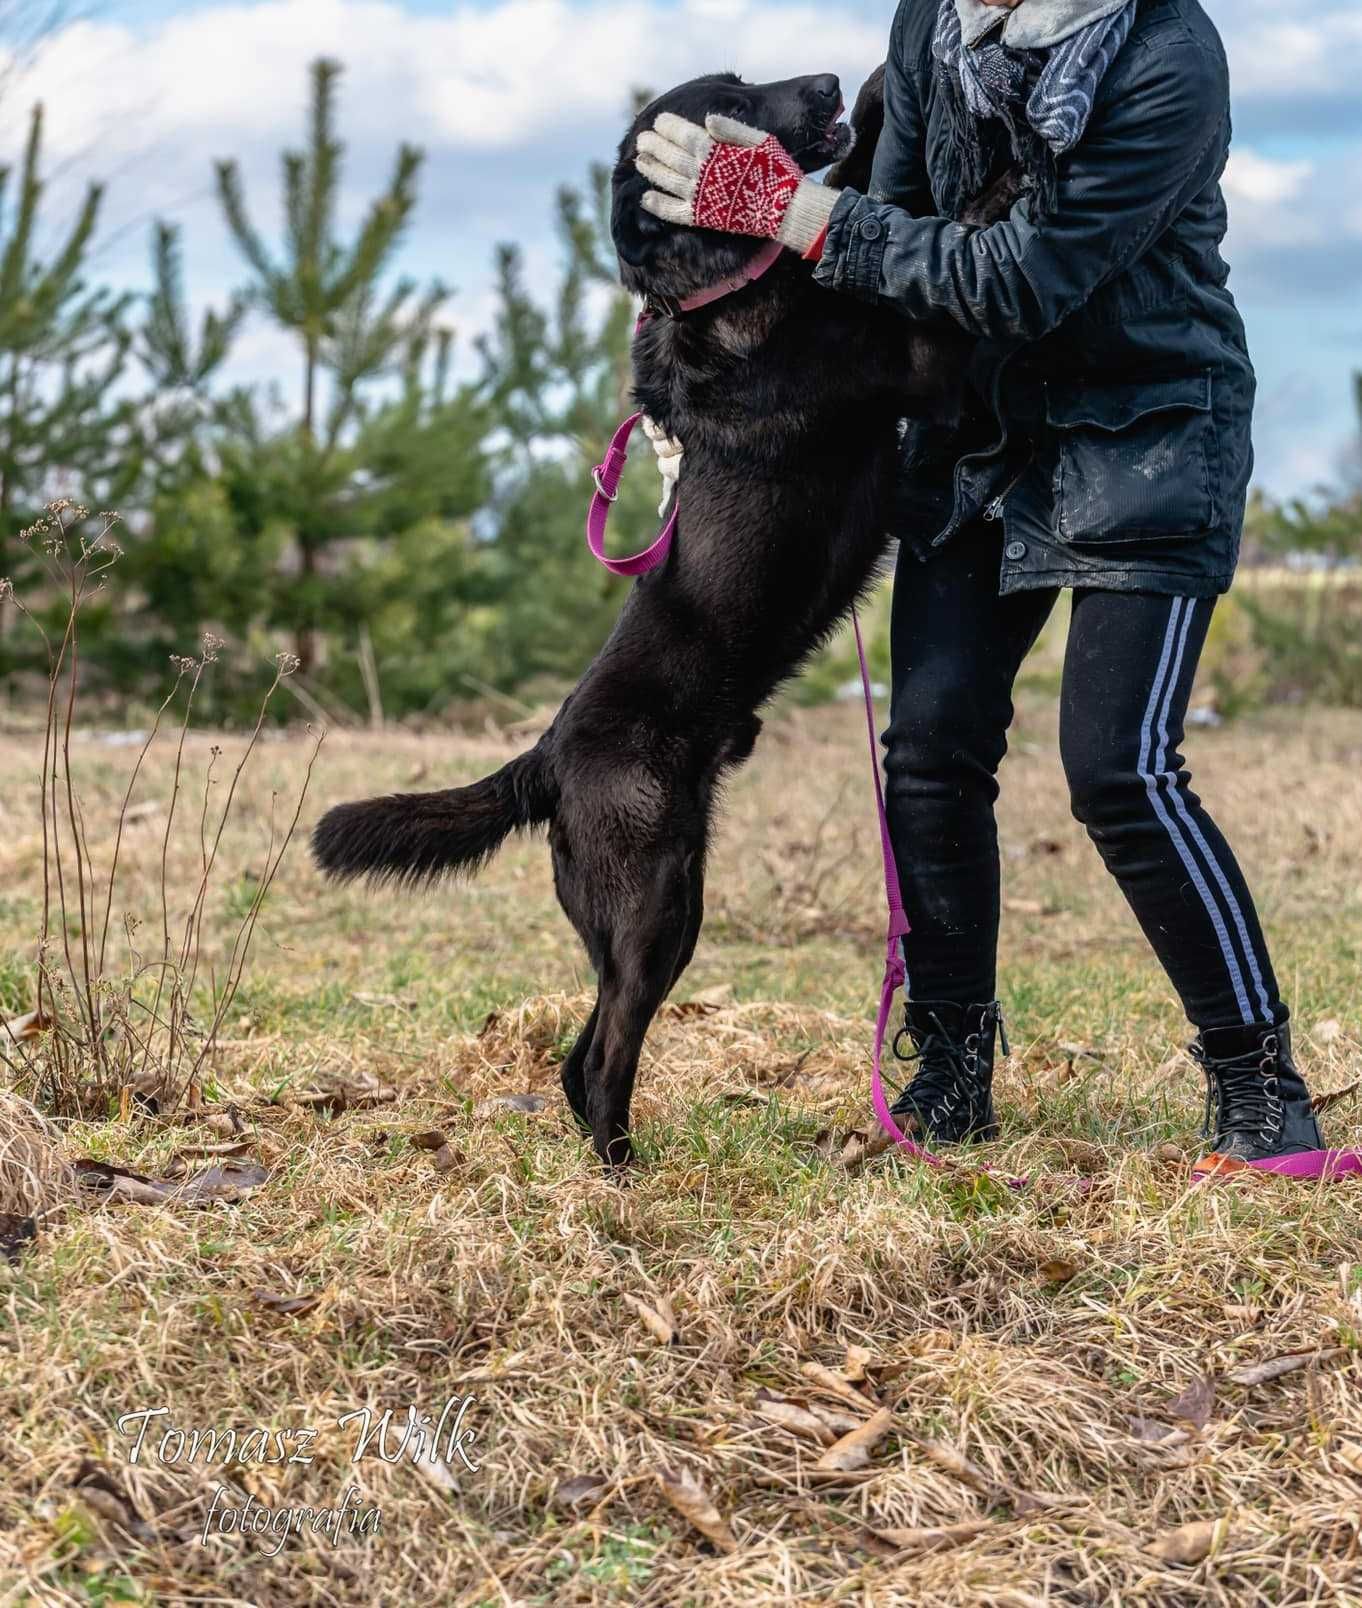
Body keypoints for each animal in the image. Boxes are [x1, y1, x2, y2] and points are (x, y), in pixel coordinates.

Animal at [316, 69, 1009, 1170]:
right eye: (733, 98)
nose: (824, 78)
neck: (719, 295)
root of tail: (545, 756)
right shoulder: (922, 357)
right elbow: (952, 239)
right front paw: (1008, 174)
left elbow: (854, 194)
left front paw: (871, 104)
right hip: (655, 903)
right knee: (604, 1052)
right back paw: (619, 1170)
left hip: (657, 915)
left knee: (581, 1048)